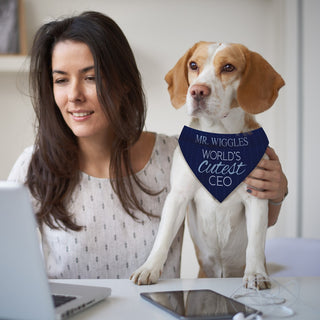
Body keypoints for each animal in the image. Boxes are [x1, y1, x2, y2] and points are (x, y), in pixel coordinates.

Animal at [130, 41, 284, 288]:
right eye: (193, 65)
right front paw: (149, 268)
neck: (218, 140)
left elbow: (255, 245)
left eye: (229, 67)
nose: (197, 91)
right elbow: (163, 238)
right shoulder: (178, 196)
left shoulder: (257, 197)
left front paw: (256, 274)